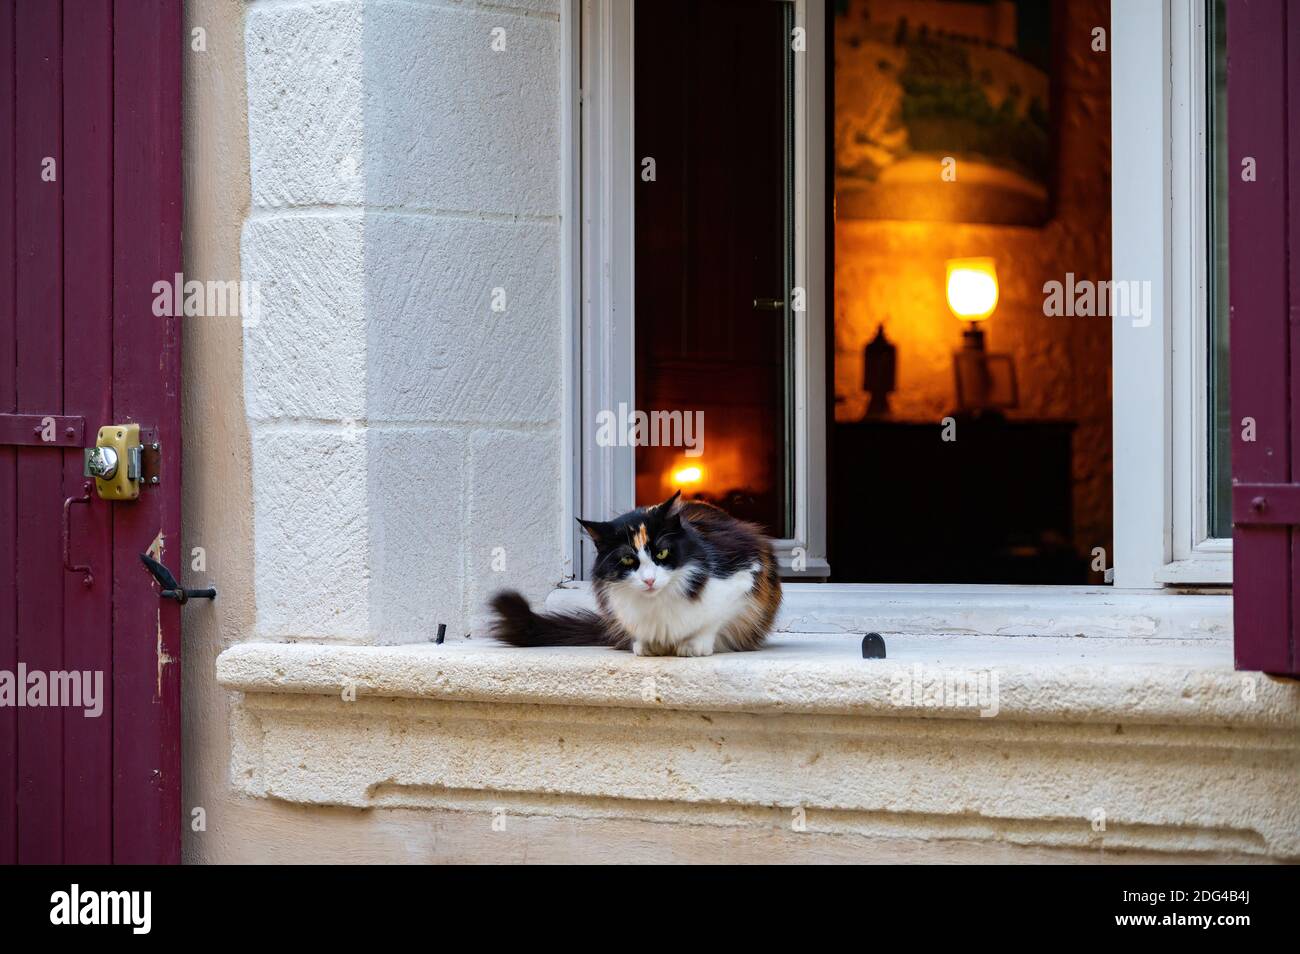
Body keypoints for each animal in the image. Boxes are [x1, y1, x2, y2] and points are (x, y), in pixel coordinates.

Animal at [491, 493, 780, 657]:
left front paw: (694, 646)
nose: (649, 579)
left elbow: (712, 620)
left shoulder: (745, 575)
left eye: (662, 553)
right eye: (628, 559)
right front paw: (646, 644)